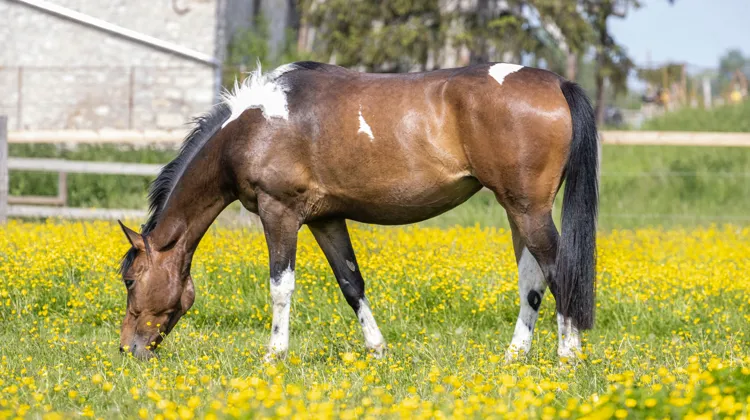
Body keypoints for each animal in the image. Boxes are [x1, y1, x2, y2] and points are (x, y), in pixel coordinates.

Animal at [118, 61, 598, 362]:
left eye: (130, 280)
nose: (127, 349)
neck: (253, 127)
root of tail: (557, 83)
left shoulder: (280, 213)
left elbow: (280, 287)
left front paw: (275, 354)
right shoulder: (325, 219)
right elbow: (351, 284)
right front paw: (377, 349)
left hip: (528, 210)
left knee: (559, 271)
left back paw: (568, 355)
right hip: (519, 210)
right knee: (532, 281)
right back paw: (514, 356)